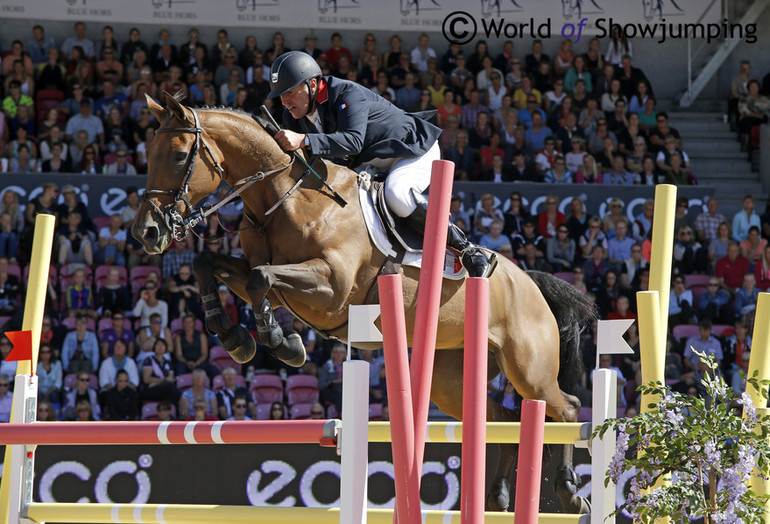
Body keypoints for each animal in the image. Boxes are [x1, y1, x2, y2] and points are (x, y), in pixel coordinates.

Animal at [132, 93, 592, 512]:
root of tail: (530, 281)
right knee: (503, 419)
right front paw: (235, 339)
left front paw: (283, 343)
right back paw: (498, 498)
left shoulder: (332, 288)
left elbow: (263, 278)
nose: (146, 233)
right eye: (148, 156)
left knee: (565, 409)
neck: (283, 196)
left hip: (528, 368)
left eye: (178, 156)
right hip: (451, 379)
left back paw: (570, 491)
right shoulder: (267, 280)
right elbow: (210, 263)